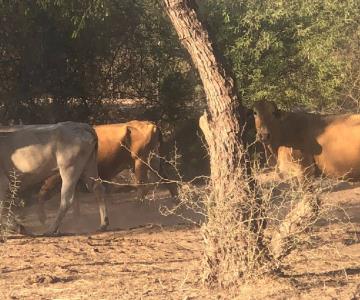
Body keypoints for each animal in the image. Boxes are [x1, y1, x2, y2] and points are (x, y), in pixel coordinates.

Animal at [36, 120, 177, 224]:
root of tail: (152, 125)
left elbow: (44, 193)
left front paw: (42, 217)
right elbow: (75, 197)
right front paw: (77, 216)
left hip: (140, 162)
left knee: (143, 187)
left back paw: (135, 210)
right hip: (154, 162)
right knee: (168, 181)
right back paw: (176, 203)